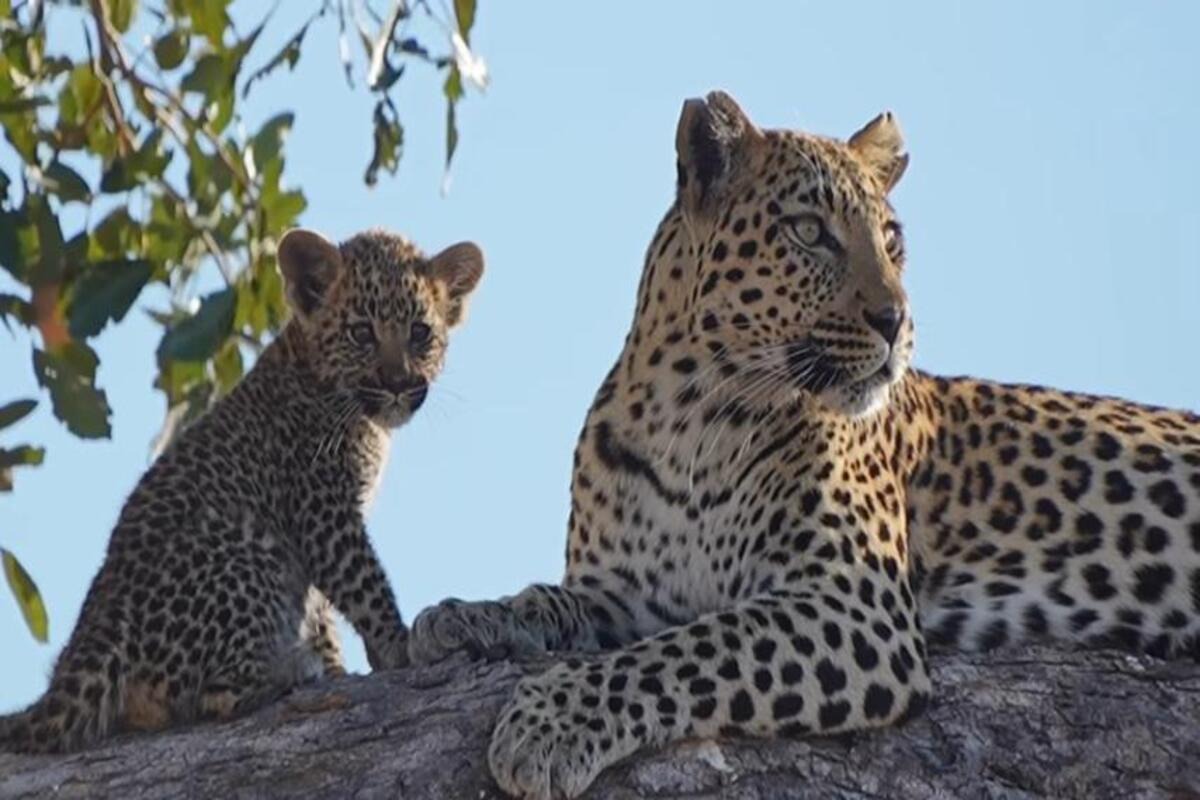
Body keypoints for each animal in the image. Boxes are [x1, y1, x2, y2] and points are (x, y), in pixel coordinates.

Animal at [0, 226, 483, 754]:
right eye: (361, 333)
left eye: (420, 333)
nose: (397, 385)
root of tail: (93, 636)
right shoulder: (323, 515)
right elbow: (366, 587)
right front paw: (399, 647)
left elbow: (322, 613)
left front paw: (343, 664)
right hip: (248, 546)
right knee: (213, 696)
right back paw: (292, 671)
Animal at [407, 91, 1200, 799]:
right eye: (810, 232)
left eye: (892, 240)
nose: (897, 321)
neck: (691, 420)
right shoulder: (632, 592)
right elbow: (554, 600)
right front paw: (468, 617)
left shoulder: (853, 601)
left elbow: (687, 653)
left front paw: (550, 723)